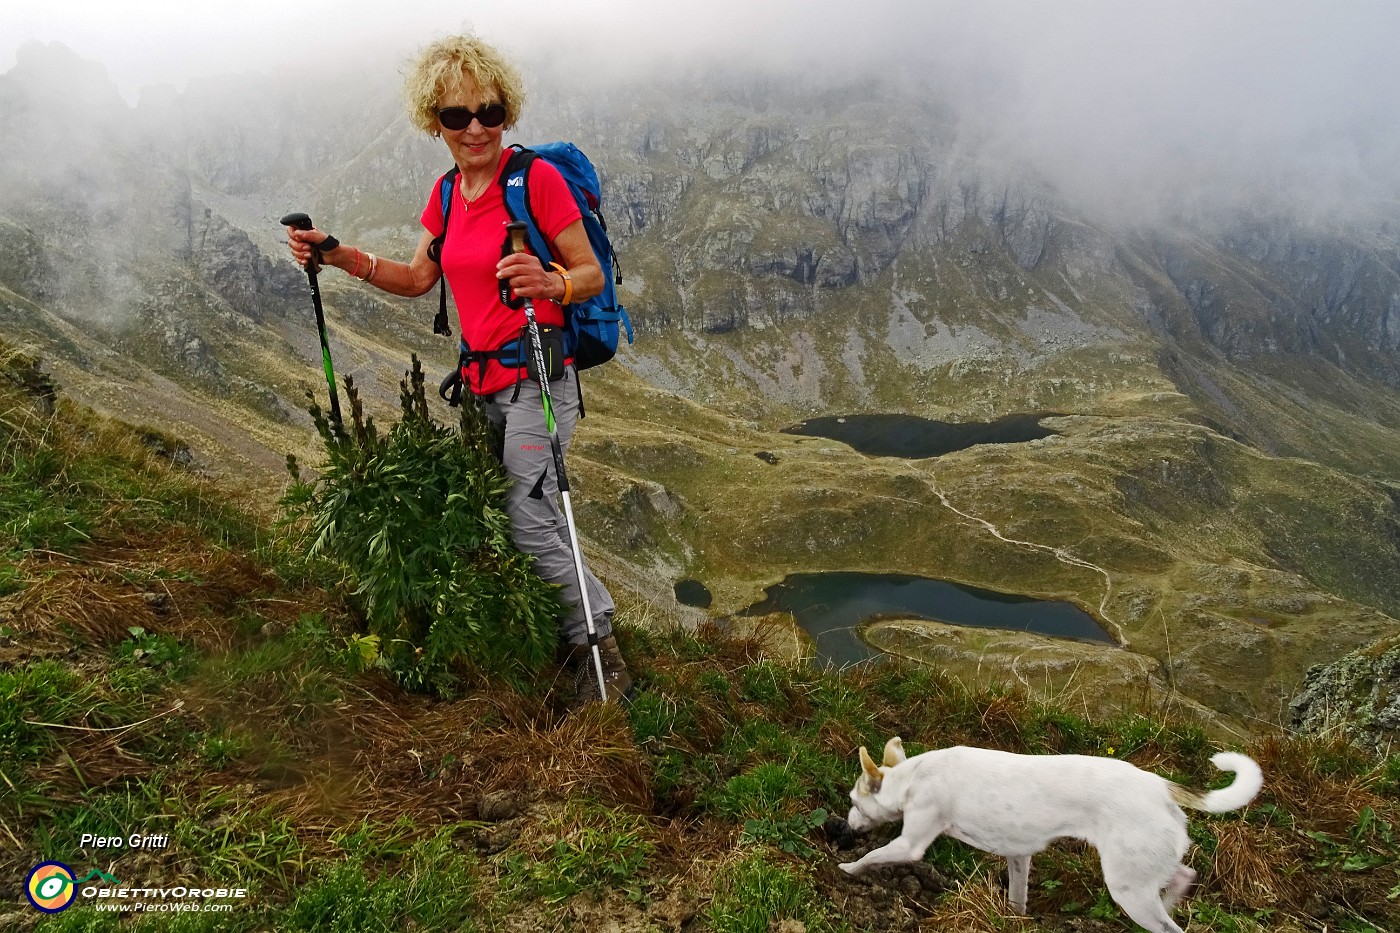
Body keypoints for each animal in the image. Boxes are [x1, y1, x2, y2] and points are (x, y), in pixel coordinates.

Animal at [840, 739, 1271, 924]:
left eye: (853, 799)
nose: (844, 826)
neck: (910, 777)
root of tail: (1160, 786)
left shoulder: (911, 843)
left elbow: (874, 856)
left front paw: (847, 868)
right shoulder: (1019, 856)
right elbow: (1018, 898)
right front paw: (1014, 919)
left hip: (1127, 889)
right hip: (1145, 868)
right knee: (1184, 874)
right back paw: (1173, 897)